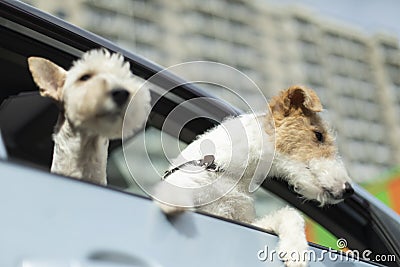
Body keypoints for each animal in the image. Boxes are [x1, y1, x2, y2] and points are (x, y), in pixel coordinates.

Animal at [153, 86, 354, 267]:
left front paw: (295, 251)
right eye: (318, 135)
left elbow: (290, 214)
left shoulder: (245, 221)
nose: (348, 190)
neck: (230, 172)